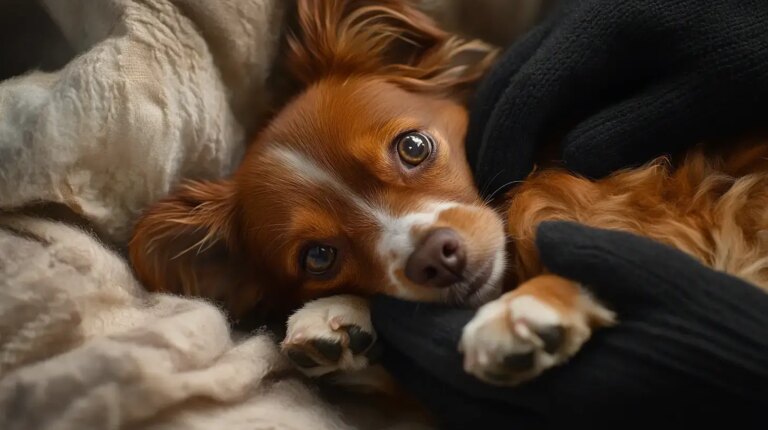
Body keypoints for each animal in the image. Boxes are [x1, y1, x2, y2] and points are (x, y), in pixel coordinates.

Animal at [129, 0, 768, 390]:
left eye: (413, 146)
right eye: (319, 257)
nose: (436, 257)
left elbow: (573, 228)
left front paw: (530, 305)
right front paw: (340, 319)